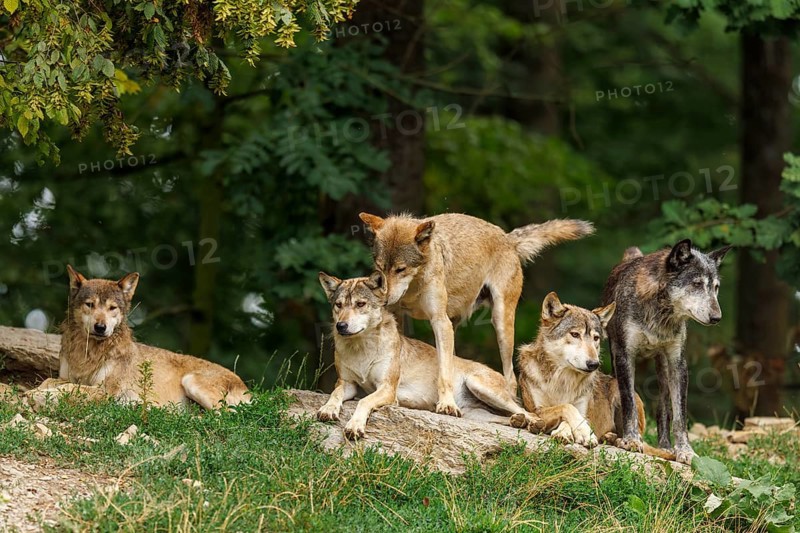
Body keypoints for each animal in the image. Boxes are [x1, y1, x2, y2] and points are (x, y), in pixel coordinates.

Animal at [59, 265, 250, 409]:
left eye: (112, 308)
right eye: (90, 304)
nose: (100, 327)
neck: (88, 352)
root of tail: (247, 389)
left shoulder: (105, 391)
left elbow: (68, 388)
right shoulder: (66, 377)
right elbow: (59, 382)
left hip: (191, 382)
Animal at [317, 271, 549, 439]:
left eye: (360, 304)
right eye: (338, 305)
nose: (341, 326)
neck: (361, 349)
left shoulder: (387, 388)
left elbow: (364, 402)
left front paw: (354, 427)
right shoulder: (347, 383)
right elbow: (334, 394)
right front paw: (328, 410)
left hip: (481, 387)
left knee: (529, 413)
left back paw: (533, 423)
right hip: (475, 413)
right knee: (507, 418)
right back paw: (518, 422)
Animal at [358, 212, 594, 417]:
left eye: (401, 269)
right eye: (379, 267)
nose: (384, 299)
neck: (413, 288)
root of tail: (507, 238)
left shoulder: (440, 321)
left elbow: (444, 373)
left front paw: (447, 405)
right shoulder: (403, 319)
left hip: (501, 326)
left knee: (510, 379)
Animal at [516, 292, 675, 459]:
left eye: (596, 338)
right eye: (575, 334)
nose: (594, 364)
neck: (563, 382)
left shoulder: (584, 412)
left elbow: (570, 412)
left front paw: (581, 433)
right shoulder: (536, 410)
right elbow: (566, 407)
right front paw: (568, 432)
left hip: (621, 393)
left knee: (637, 440)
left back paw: (617, 440)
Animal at [602, 240, 731, 464]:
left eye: (715, 288)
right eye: (697, 284)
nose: (717, 318)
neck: (659, 314)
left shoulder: (678, 363)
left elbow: (680, 416)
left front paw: (685, 451)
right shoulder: (624, 356)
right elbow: (629, 403)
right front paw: (631, 439)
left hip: (662, 368)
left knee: (664, 409)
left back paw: (665, 446)